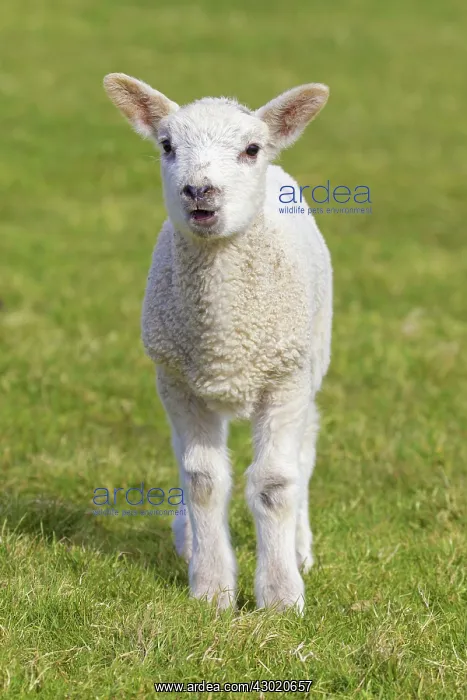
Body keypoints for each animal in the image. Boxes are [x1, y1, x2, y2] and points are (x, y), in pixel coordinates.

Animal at [103, 74, 332, 613]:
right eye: (167, 145)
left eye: (250, 149)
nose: (199, 190)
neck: (225, 337)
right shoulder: (177, 382)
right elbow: (204, 481)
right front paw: (210, 589)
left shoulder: (284, 379)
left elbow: (274, 483)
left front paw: (281, 596)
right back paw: (187, 537)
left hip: (312, 357)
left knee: (304, 454)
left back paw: (299, 546)